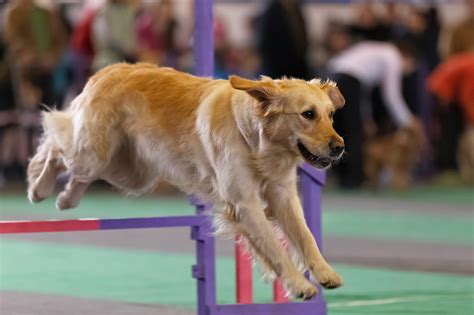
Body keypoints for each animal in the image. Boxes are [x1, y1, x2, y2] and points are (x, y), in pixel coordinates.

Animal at [25, 63, 344, 300]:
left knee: (76, 170)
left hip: (130, 172)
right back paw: (39, 189)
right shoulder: (244, 203)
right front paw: (298, 284)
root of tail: (108, 69)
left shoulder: (281, 194)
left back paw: (66, 199)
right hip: (94, 153)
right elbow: (275, 246)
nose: (339, 147)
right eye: (307, 114)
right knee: (56, 143)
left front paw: (325, 272)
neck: (257, 140)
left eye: (330, 115)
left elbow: (305, 236)